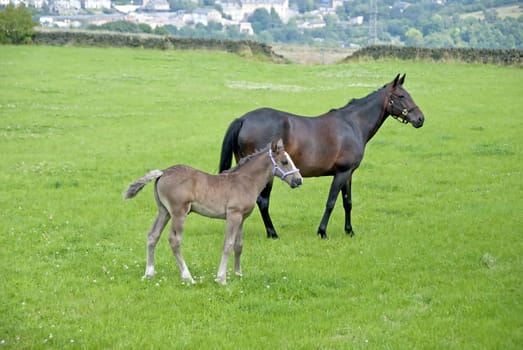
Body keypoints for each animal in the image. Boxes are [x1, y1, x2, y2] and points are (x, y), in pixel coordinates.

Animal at [124, 139, 302, 284]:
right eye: (284, 162)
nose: (298, 180)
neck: (245, 181)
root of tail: (162, 172)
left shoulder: (242, 218)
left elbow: (239, 245)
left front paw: (238, 274)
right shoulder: (233, 215)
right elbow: (228, 244)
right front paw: (221, 278)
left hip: (164, 212)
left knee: (152, 235)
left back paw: (149, 273)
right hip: (179, 213)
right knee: (174, 240)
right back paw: (188, 277)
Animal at [219, 72, 424, 239]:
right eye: (401, 96)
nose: (420, 119)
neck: (353, 124)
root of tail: (244, 119)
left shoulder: (348, 174)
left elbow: (347, 202)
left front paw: (349, 231)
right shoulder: (341, 173)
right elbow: (331, 202)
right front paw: (322, 231)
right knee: (263, 201)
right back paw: (273, 233)